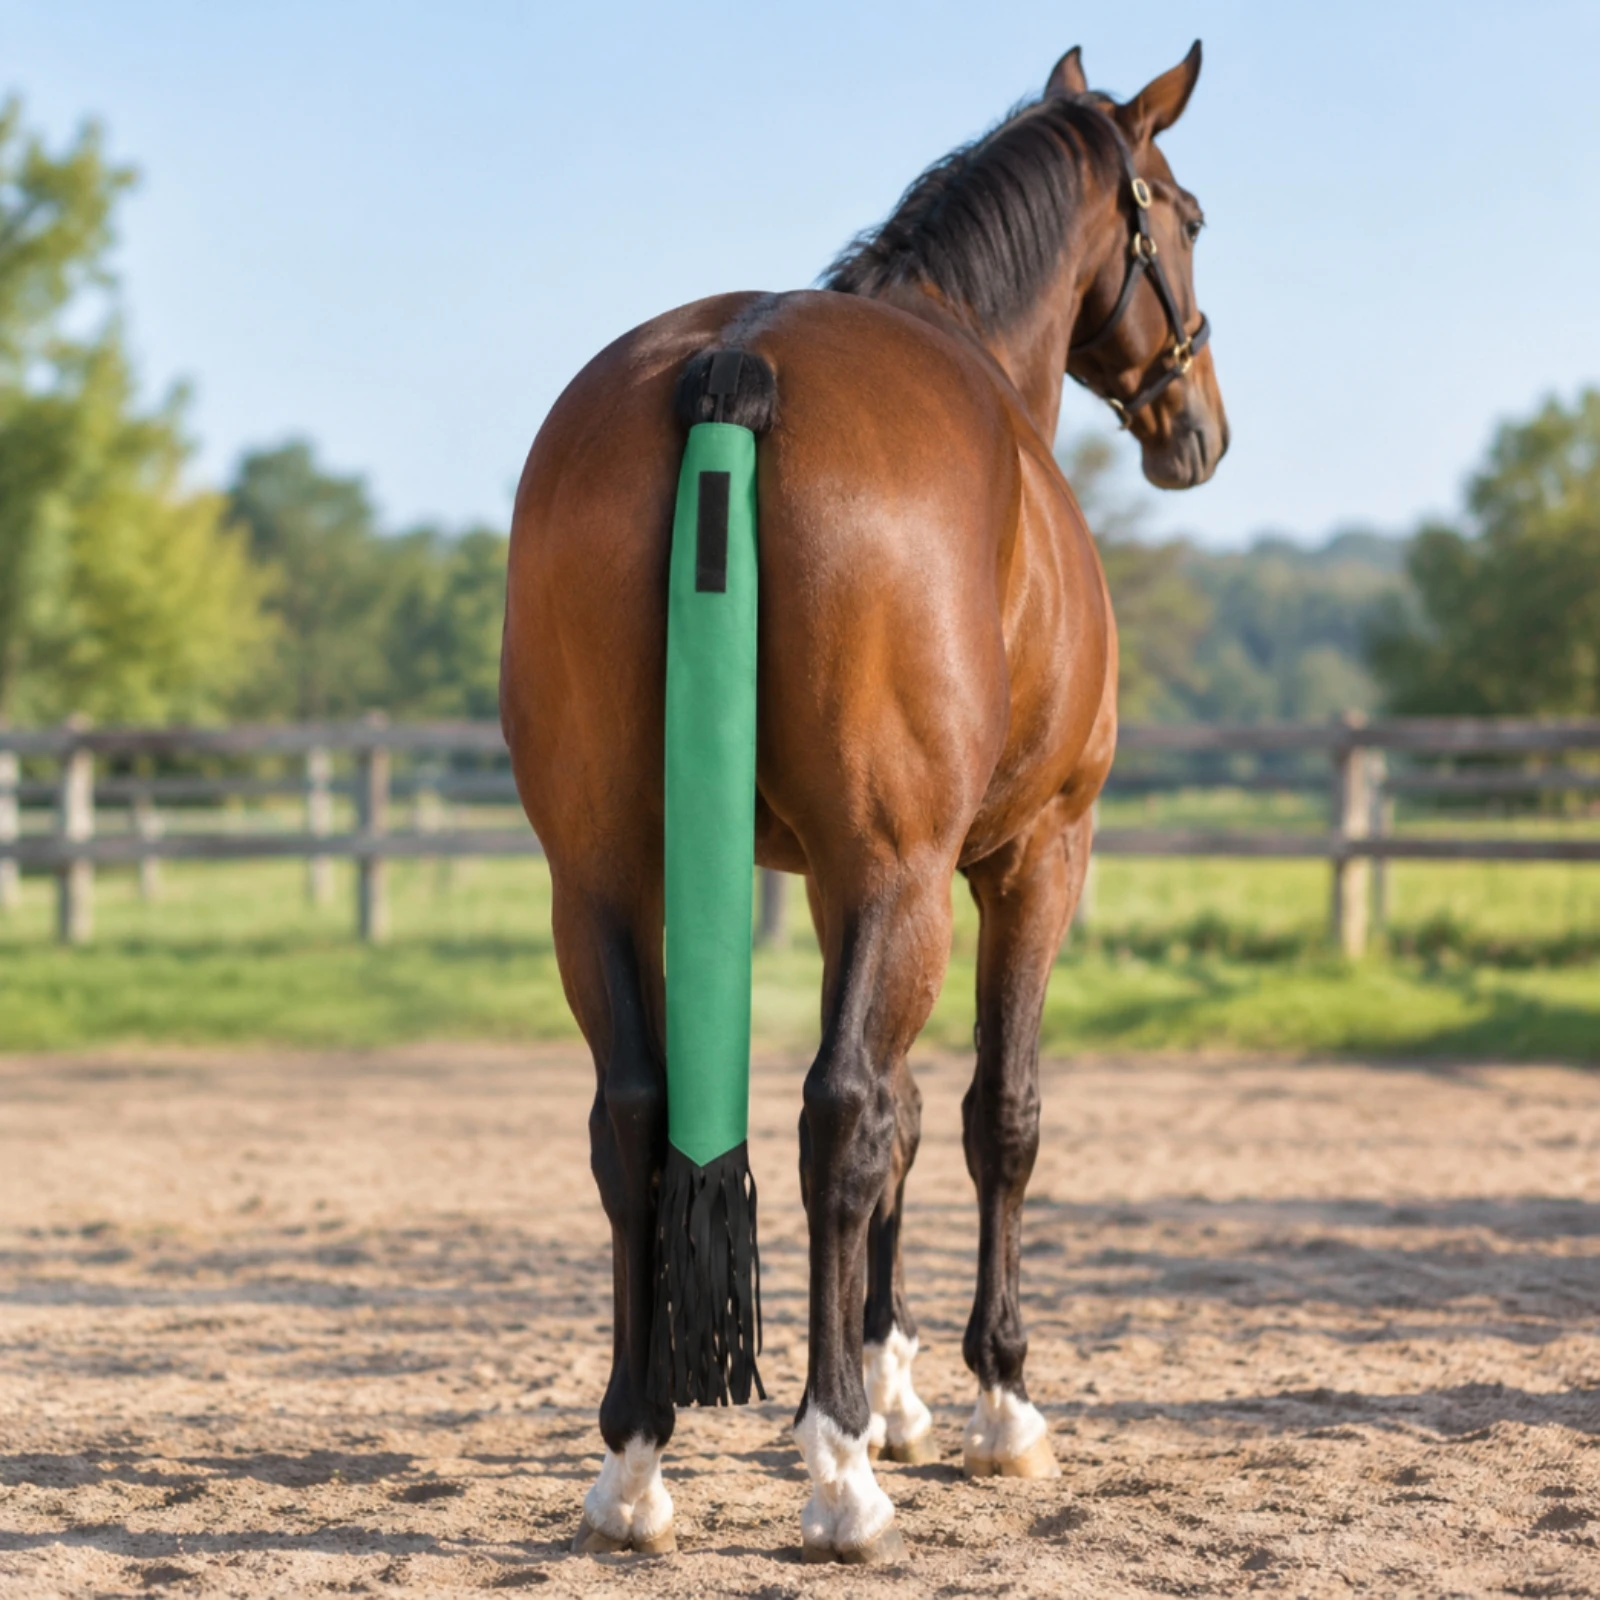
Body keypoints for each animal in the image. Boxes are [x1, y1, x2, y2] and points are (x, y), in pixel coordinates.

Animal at [501, 40, 1227, 1564]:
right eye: (1187, 215)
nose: (1197, 427)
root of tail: (735, 361)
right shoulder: (1018, 859)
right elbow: (987, 1112)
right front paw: (990, 1401)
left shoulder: (852, 882)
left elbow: (896, 1116)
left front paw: (893, 1385)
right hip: (904, 870)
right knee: (839, 1113)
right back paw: (839, 1471)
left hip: (601, 873)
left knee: (633, 1114)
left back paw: (634, 1463)